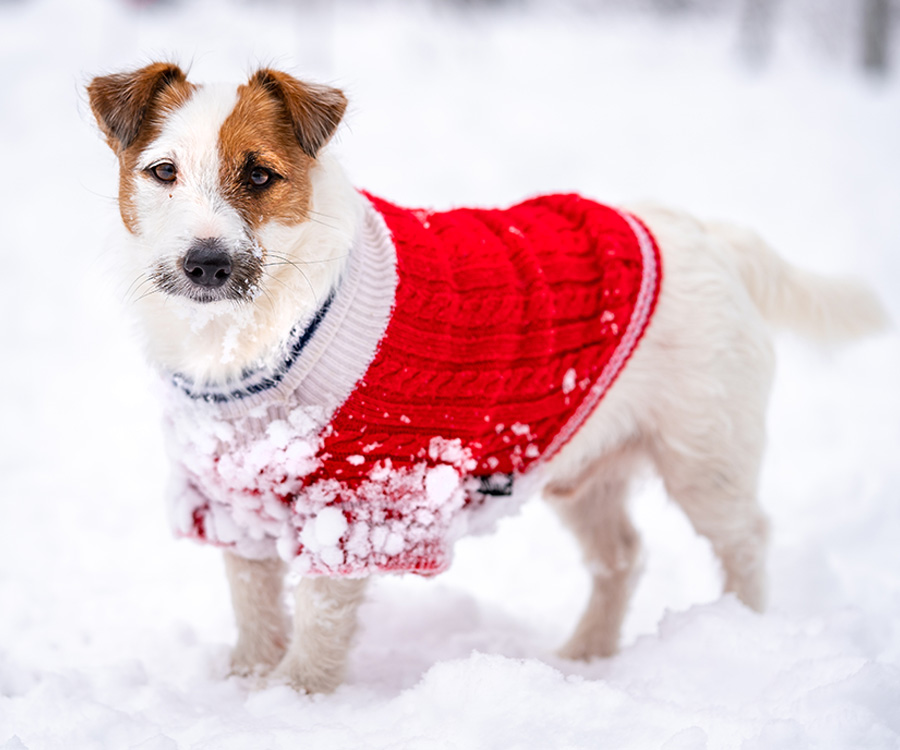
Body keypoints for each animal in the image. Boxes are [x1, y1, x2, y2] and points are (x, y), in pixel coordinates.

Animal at [88, 61, 888, 696]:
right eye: (163, 172)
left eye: (259, 174)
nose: (206, 262)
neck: (250, 339)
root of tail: (708, 234)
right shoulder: (231, 498)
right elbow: (252, 603)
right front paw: (247, 681)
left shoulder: (358, 502)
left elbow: (319, 614)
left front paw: (294, 699)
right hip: (583, 469)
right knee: (622, 557)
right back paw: (586, 656)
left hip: (706, 460)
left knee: (746, 541)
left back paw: (743, 629)